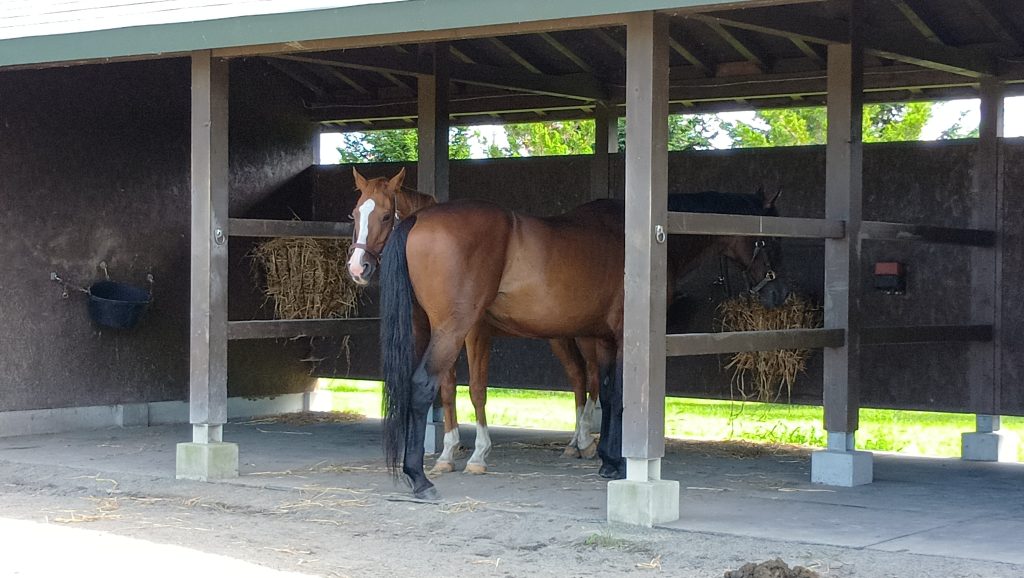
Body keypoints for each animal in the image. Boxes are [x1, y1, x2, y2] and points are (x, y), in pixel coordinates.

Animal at [346, 168, 602, 471]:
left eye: (386, 216)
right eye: (355, 213)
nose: (357, 267)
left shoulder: (474, 333)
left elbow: (477, 389)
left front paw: (479, 453)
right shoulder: (442, 332)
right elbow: (446, 389)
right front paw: (447, 453)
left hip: (585, 334)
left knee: (593, 377)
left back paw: (585, 440)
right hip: (558, 335)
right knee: (578, 377)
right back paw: (575, 443)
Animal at [373, 187, 789, 500]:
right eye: (770, 240)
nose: (778, 294)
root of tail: (419, 218)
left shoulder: (602, 340)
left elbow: (602, 391)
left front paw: (604, 457)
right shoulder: (622, 337)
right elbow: (618, 396)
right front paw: (616, 463)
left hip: (425, 329)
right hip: (452, 329)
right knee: (422, 385)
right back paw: (420, 479)